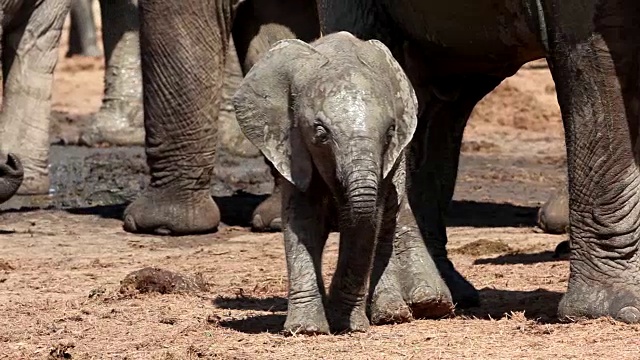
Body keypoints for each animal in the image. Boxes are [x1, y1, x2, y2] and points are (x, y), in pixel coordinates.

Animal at [234, 32, 450, 334]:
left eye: (390, 131)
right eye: (320, 133)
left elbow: (367, 225)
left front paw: (347, 325)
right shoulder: (293, 147)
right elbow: (302, 219)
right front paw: (307, 330)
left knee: (387, 219)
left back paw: (396, 313)